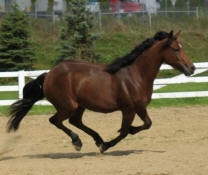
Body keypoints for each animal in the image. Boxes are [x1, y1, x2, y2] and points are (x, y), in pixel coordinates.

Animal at [6, 30, 195, 153]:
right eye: (176, 49)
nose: (192, 68)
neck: (136, 75)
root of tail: (49, 74)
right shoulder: (128, 109)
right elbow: (124, 132)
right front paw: (107, 145)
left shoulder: (140, 108)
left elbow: (147, 124)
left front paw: (127, 132)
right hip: (67, 105)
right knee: (55, 120)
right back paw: (78, 142)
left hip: (79, 105)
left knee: (75, 121)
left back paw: (97, 139)